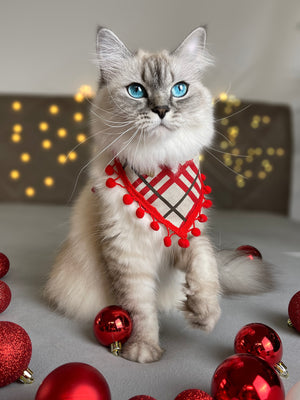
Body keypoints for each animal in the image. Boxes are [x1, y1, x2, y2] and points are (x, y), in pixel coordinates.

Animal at [45, 27, 274, 362]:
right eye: (136, 91)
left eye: (179, 89)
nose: (162, 110)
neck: (157, 166)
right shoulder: (128, 255)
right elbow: (140, 309)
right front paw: (144, 350)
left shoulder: (186, 234)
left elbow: (205, 267)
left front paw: (203, 313)